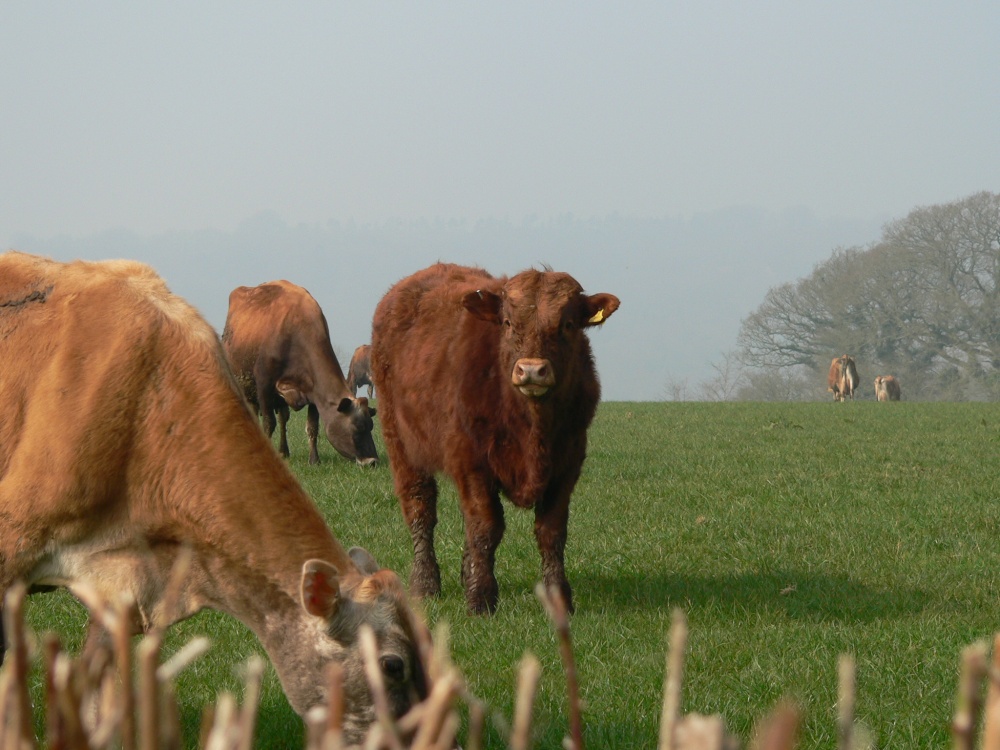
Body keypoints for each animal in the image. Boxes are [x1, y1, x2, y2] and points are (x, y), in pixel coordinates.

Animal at [222, 280, 377, 466]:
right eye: (357, 427)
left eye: (371, 426)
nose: (372, 461)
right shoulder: (264, 386)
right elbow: (268, 423)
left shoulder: (314, 392)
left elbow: (312, 427)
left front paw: (314, 460)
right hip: (246, 387)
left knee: (283, 419)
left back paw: (284, 451)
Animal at [371, 263, 620, 615]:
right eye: (507, 323)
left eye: (568, 324)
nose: (532, 370)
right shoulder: (472, 462)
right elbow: (486, 526)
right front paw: (481, 597)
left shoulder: (568, 462)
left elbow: (551, 531)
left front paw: (558, 598)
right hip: (401, 445)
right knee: (420, 510)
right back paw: (424, 584)